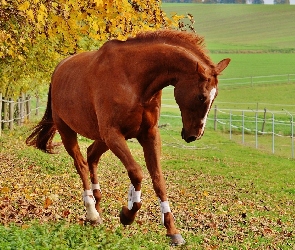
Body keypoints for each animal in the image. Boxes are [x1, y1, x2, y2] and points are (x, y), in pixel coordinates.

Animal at [26, 29, 231, 246]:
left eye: (214, 97)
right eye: (202, 96)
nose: (194, 135)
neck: (134, 79)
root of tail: (59, 69)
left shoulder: (148, 135)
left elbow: (158, 180)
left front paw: (172, 230)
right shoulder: (114, 134)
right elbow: (137, 172)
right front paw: (127, 214)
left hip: (101, 139)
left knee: (91, 156)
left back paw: (98, 209)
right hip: (68, 131)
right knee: (81, 164)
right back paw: (92, 213)